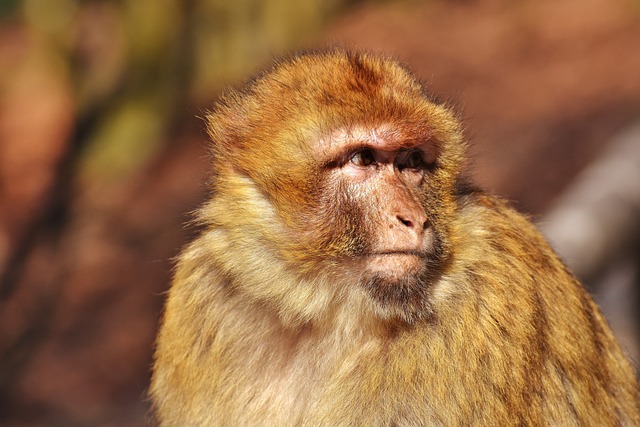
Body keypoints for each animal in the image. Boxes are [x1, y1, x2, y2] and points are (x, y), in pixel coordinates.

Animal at [151, 49, 640, 424]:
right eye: (363, 159)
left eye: (411, 161)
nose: (415, 220)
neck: (325, 312)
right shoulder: (208, 297)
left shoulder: (485, 295)